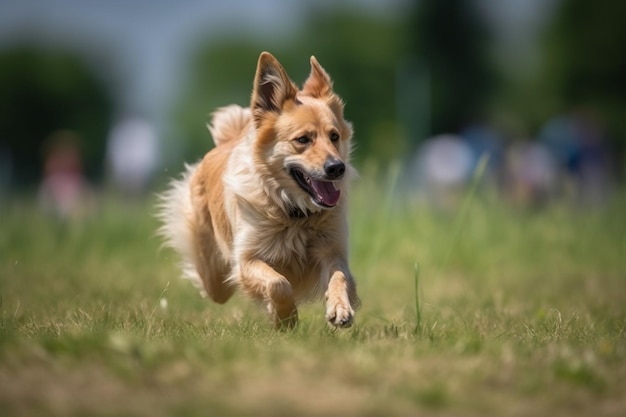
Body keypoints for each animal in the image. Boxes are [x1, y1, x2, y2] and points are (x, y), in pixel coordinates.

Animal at [158, 50, 358, 326]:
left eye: (334, 136)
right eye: (302, 140)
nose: (337, 168)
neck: (294, 214)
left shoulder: (333, 250)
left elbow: (339, 276)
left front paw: (340, 307)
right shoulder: (246, 259)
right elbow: (277, 283)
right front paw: (285, 317)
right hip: (215, 276)